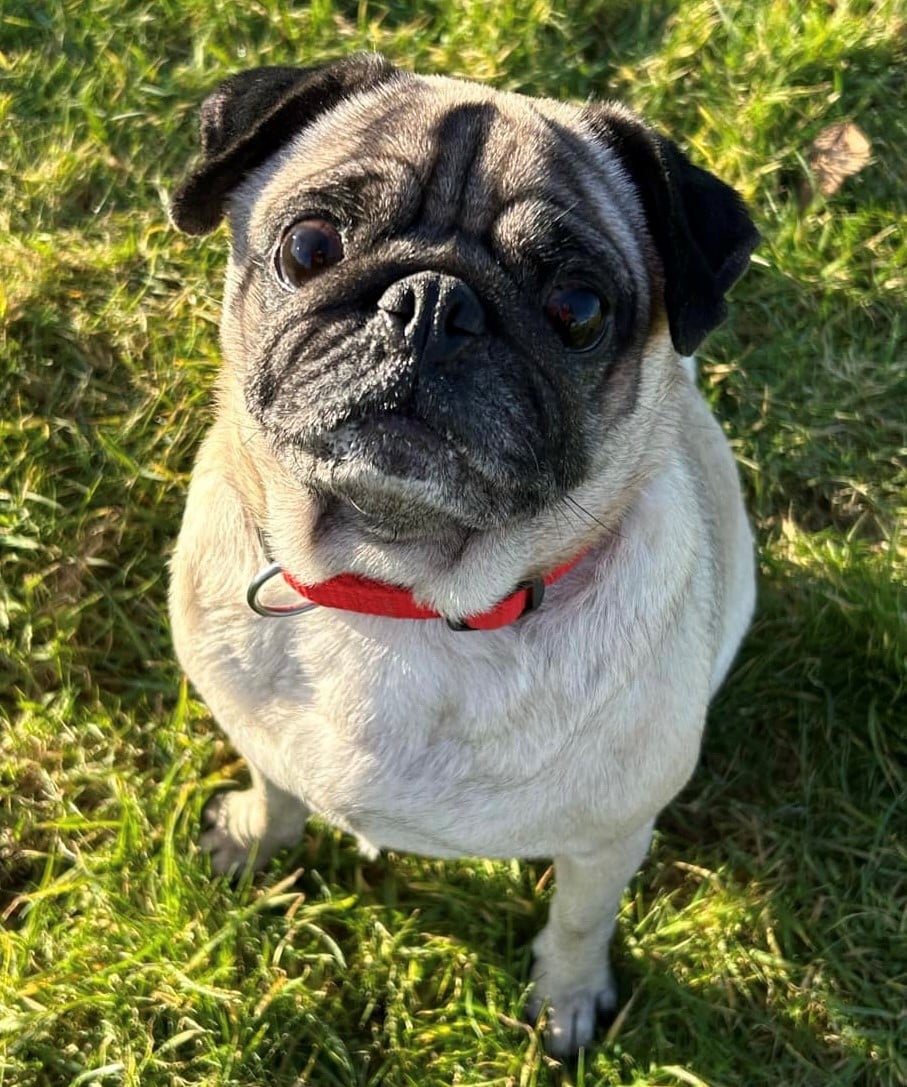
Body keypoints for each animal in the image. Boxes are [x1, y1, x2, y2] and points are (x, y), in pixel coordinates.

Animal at [167, 52, 756, 1052]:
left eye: (578, 309)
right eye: (309, 248)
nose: (431, 304)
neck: (394, 588)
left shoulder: (607, 840)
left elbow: (579, 921)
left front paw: (566, 1000)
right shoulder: (259, 734)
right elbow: (276, 783)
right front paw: (251, 836)